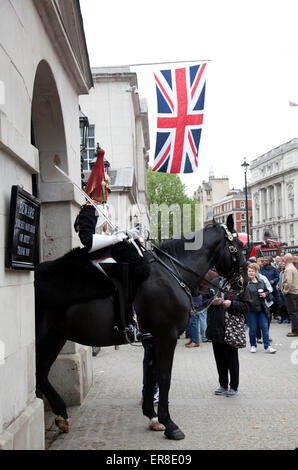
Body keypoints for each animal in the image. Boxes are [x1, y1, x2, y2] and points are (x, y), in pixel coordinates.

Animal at [34, 215, 247, 438]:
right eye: (240, 245)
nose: (244, 282)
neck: (172, 273)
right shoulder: (167, 337)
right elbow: (164, 377)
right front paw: (169, 423)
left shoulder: (153, 339)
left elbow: (151, 375)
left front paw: (153, 417)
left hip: (54, 337)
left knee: (40, 372)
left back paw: (61, 414)